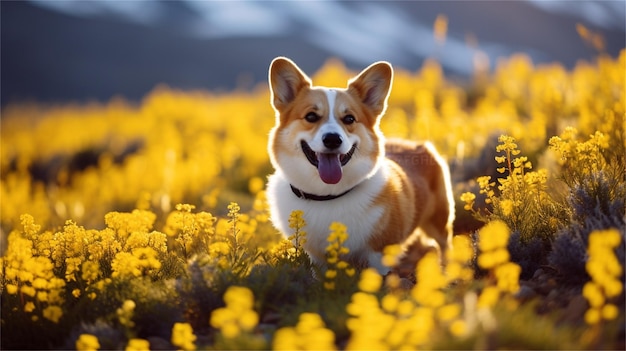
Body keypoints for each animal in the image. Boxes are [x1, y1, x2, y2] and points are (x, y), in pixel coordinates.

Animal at [264, 57, 454, 276]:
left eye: (349, 119)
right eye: (311, 116)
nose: (332, 139)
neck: (328, 196)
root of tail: (418, 144)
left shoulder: (379, 255)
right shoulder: (317, 258)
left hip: (438, 221)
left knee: (444, 244)